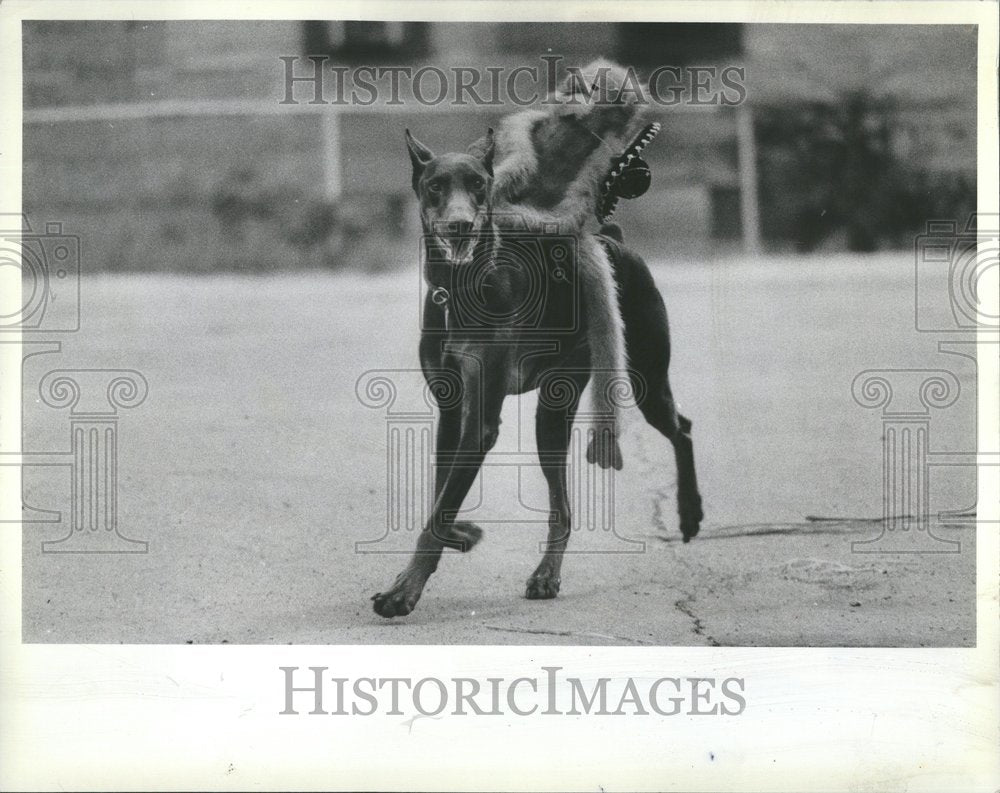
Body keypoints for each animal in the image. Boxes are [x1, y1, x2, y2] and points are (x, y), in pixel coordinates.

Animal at [370, 128, 704, 620]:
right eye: (435, 186)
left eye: (479, 185)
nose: (460, 225)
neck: (461, 288)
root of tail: (611, 238)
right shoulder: (451, 410)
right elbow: (441, 499)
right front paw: (458, 537)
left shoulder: (480, 423)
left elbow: (440, 509)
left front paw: (402, 593)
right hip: (554, 408)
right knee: (561, 503)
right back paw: (547, 571)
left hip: (639, 375)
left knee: (680, 427)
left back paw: (688, 512)